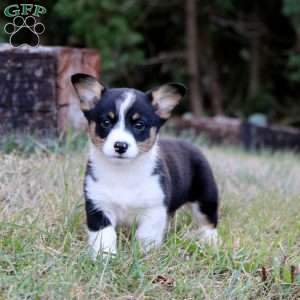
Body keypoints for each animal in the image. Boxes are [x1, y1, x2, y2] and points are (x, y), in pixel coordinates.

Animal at [71, 74, 219, 258]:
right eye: (106, 122)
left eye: (139, 125)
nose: (120, 146)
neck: (123, 171)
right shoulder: (98, 206)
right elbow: (105, 235)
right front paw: (105, 257)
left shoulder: (154, 209)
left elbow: (146, 236)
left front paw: (144, 255)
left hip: (206, 197)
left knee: (208, 221)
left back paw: (210, 242)